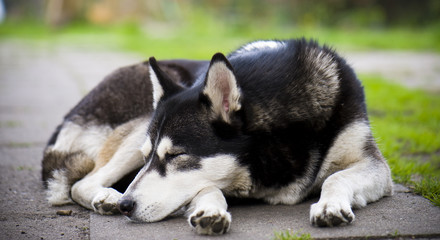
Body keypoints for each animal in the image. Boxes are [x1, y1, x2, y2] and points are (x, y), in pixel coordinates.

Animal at [42, 38, 392, 235]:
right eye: (147, 157)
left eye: (176, 156)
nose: (128, 205)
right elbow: (207, 186)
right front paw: (210, 210)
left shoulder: (375, 166)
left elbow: (335, 177)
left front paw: (329, 206)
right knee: (81, 183)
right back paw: (107, 197)